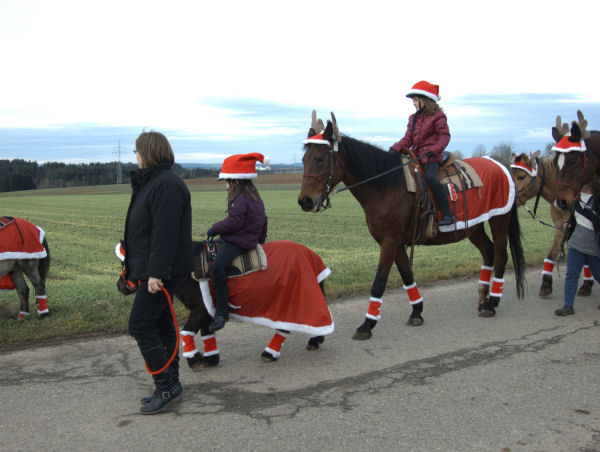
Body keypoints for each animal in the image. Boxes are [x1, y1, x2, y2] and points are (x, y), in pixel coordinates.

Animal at [116, 238, 332, 370]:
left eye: (127, 262)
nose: (120, 286)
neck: (188, 272)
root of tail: (312, 256)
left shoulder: (201, 309)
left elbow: (187, 331)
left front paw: (194, 359)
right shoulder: (207, 311)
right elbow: (206, 333)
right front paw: (211, 358)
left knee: (287, 326)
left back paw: (270, 352)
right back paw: (314, 339)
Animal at [298, 110, 524, 340]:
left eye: (320, 158)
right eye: (304, 159)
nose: (305, 201)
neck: (387, 186)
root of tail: (501, 166)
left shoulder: (389, 243)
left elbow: (379, 283)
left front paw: (367, 324)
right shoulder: (395, 243)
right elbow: (407, 275)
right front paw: (417, 311)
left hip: (499, 220)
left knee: (500, 256)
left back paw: (492, 303)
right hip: (474, 228)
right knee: (488, 252)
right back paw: (483, 298)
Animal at [510, 152, 596, 296]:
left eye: (521, 176)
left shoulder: (585, 229)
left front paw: (587, 285)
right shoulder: (561, 227)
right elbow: (551, 254)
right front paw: (546, 284)